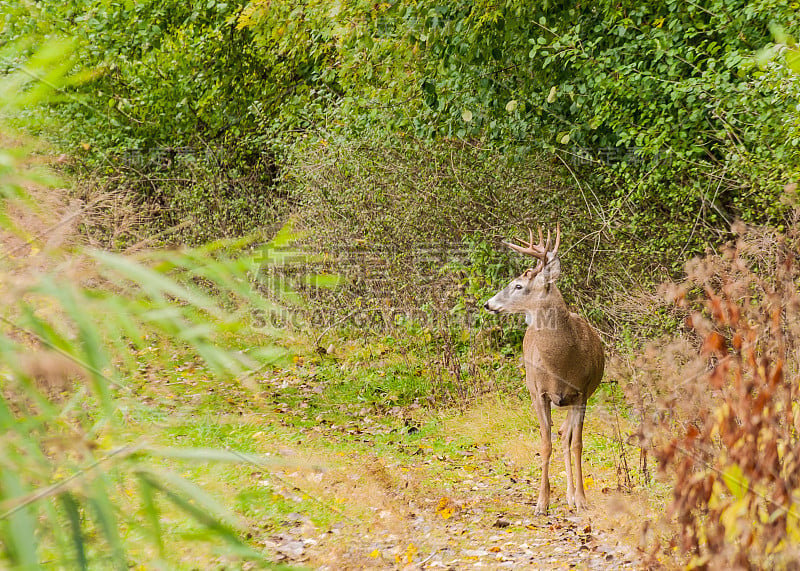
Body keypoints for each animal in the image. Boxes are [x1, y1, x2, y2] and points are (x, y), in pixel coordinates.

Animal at [482, 226, 608, 516]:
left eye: (518, 285)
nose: (488, 304)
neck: (562, 362)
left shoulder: (582, 393)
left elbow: (577, 444)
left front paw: (581, 499)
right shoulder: (539, 393)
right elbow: (545, 443)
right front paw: (542, 503)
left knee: (565, 435)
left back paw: (572, 495)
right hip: (532, 389)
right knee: (559, 434)